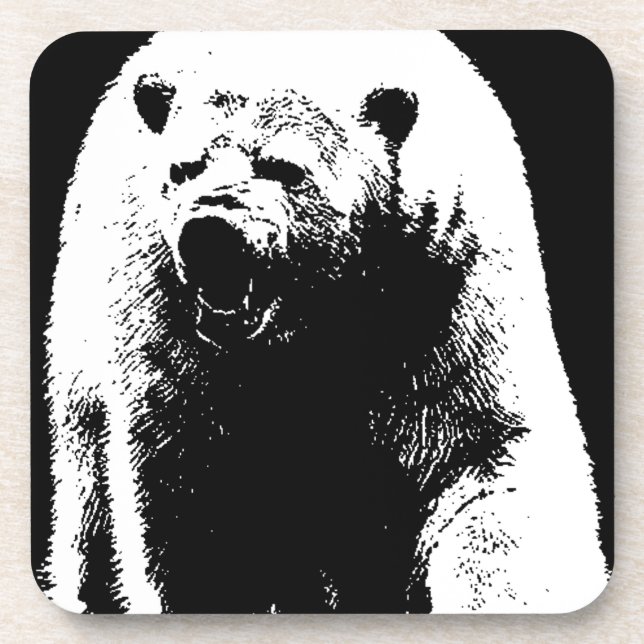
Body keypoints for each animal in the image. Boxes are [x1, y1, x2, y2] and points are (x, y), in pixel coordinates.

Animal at [40, 31, 608, 614]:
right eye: (183, 169)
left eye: (284, 167)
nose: (210, 231)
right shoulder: (171, 332)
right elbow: (191, 503)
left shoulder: (442, 292)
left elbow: (487, 467)